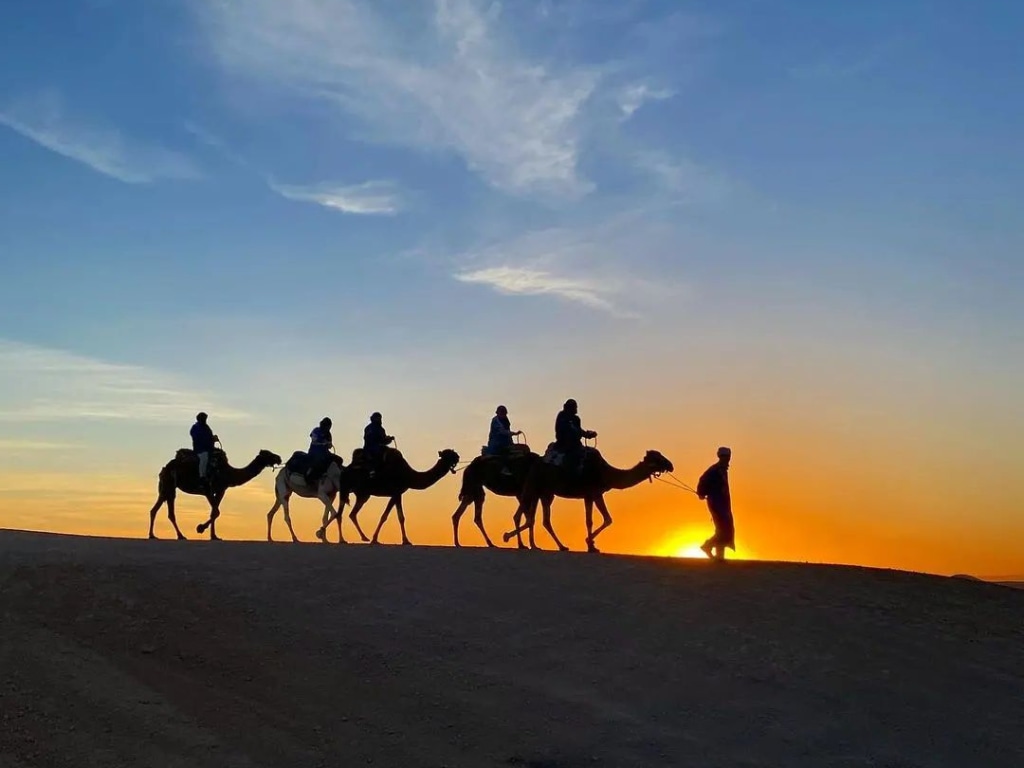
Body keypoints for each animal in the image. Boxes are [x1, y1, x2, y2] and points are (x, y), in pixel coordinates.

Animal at [146, 444, 282, 540]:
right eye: (268, 454)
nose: (279, 458)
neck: (229, 473)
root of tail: (164, 468)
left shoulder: (221, 490)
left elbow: (214, 512)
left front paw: (214, 536)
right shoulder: (208, 489)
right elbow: (216, 512)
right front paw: (200, 528)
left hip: (166, 488)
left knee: (156, 510)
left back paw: (154, 535)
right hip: (169, 485)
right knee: (168, 512)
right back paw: (179, 536)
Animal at [315, 448, 460, 548]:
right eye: (448, 455)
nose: (458, 456)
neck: (408, 475)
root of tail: (344, 471)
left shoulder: (396, 494)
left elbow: (398, 517)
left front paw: (404, 540)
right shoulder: (396, 492)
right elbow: (389, 516)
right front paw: (378, 539)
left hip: (363, 495)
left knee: (352, 514)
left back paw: (363, 537)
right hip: (345, 490)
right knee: (339, 514)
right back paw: (339, 538)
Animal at [501, 448, 671, 557]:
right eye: (658, 458)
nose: (671, 465)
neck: (605, 472)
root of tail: (532, 464)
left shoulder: (592, 495)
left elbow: (600, 519)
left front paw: (592, 544)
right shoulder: (592, 493)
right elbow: (598, 520)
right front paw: (590, 543)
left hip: (545, 493)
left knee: (541, 519)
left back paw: (558, 546)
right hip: (534, 487)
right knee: (526, 516)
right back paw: (516, 539)